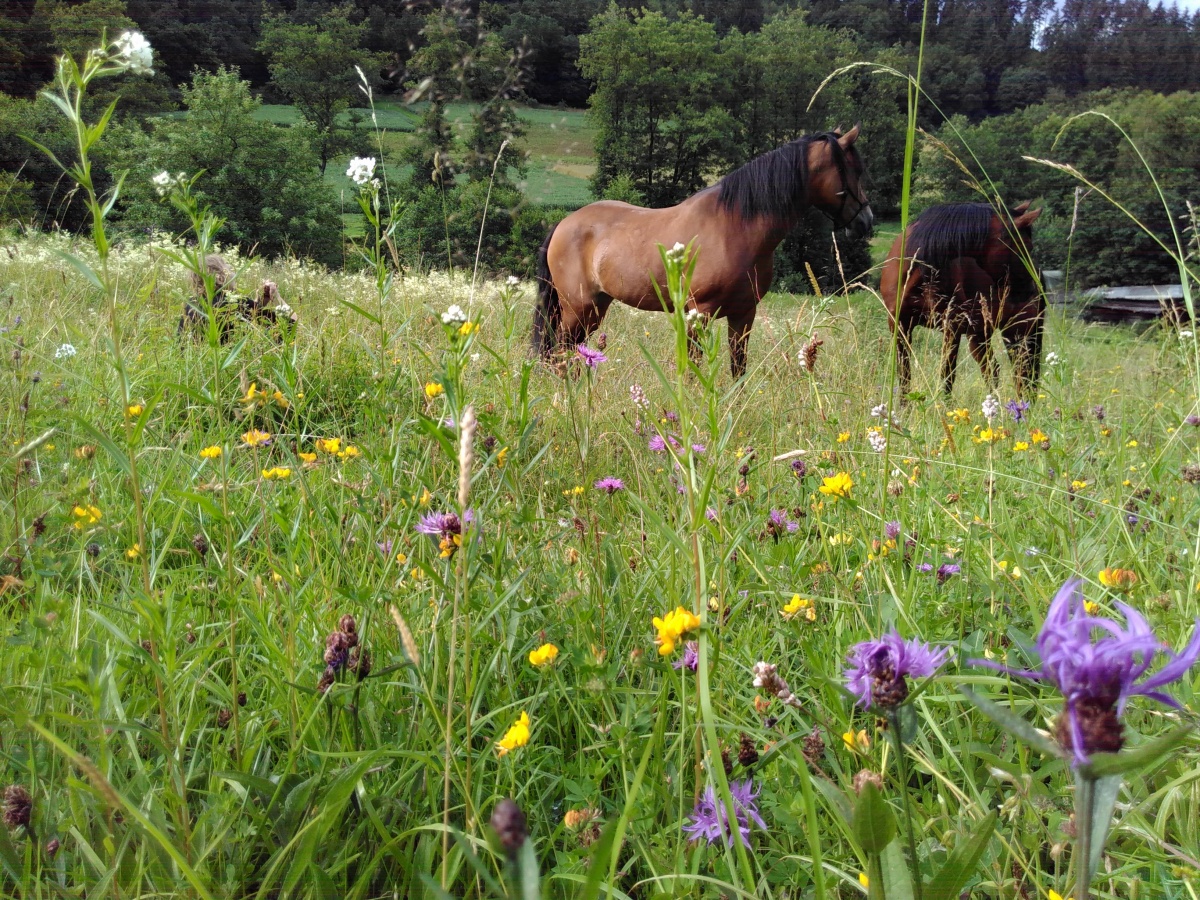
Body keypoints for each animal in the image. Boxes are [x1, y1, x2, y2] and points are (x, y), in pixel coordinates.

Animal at [532, 125, 873, 374]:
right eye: (854, 170)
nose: (866, 221)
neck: (735, 228)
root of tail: (564, 222)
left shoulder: (743, 314)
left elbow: (738, 368)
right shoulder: (700, 314)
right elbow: (694, 369)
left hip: (595, 308)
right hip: (576, 308)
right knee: (560, 351)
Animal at [883, 204, 1041, 400]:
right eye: (1027, 246)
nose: (1031, 288)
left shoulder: (952, 328)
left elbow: (947, 374)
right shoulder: (899, 325)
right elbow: (904, 375)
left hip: (1018, 333)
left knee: (1023, 373)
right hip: (980, 334)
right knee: (994, 370)